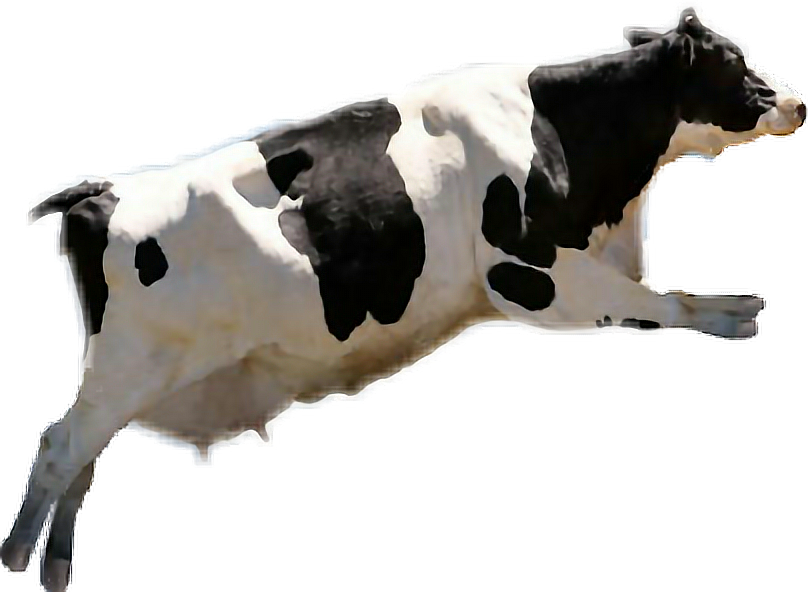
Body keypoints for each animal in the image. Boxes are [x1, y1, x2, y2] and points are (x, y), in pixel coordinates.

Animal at [5, 4, 805, 590]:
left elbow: (665, 296)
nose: (796, 103)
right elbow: (672, 303)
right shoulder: (535, 279)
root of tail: (95, 190)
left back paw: (55, 567)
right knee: (59, 448)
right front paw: (740, 314)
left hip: (125, 381)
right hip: (123, 369)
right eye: (731, 60)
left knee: (82, 460)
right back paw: (19, 558)